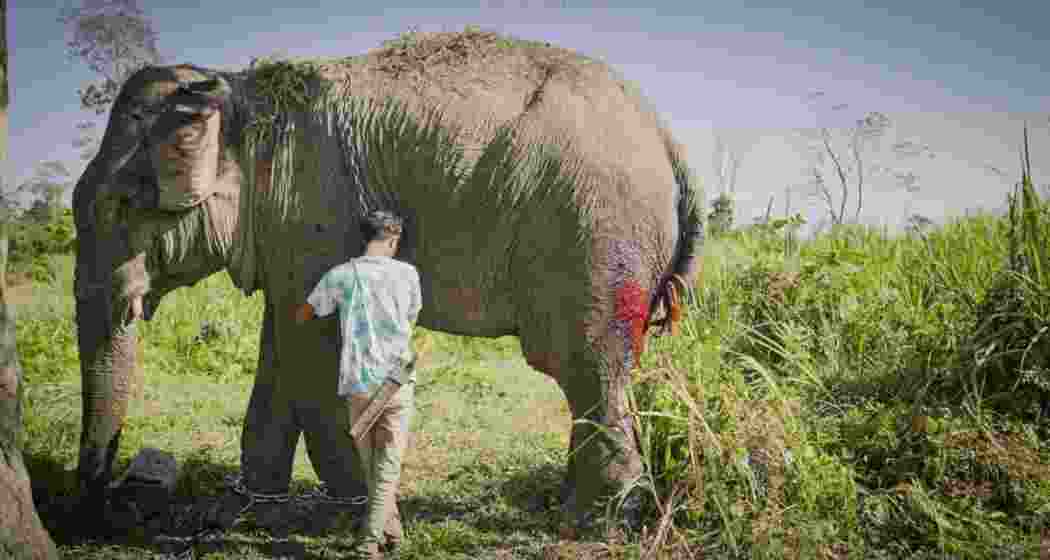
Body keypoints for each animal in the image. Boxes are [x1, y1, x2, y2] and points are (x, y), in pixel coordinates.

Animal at [72, 29, 703, 530]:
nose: (105, 500)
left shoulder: (312, 213)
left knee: (587, 367)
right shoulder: (288, 234)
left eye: (119, 204)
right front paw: (258, 499)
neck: (237, 88)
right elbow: (283, 344)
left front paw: (350, 500)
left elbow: (311, 356)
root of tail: (667, 137)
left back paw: (594, 520)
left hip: (595, 239)